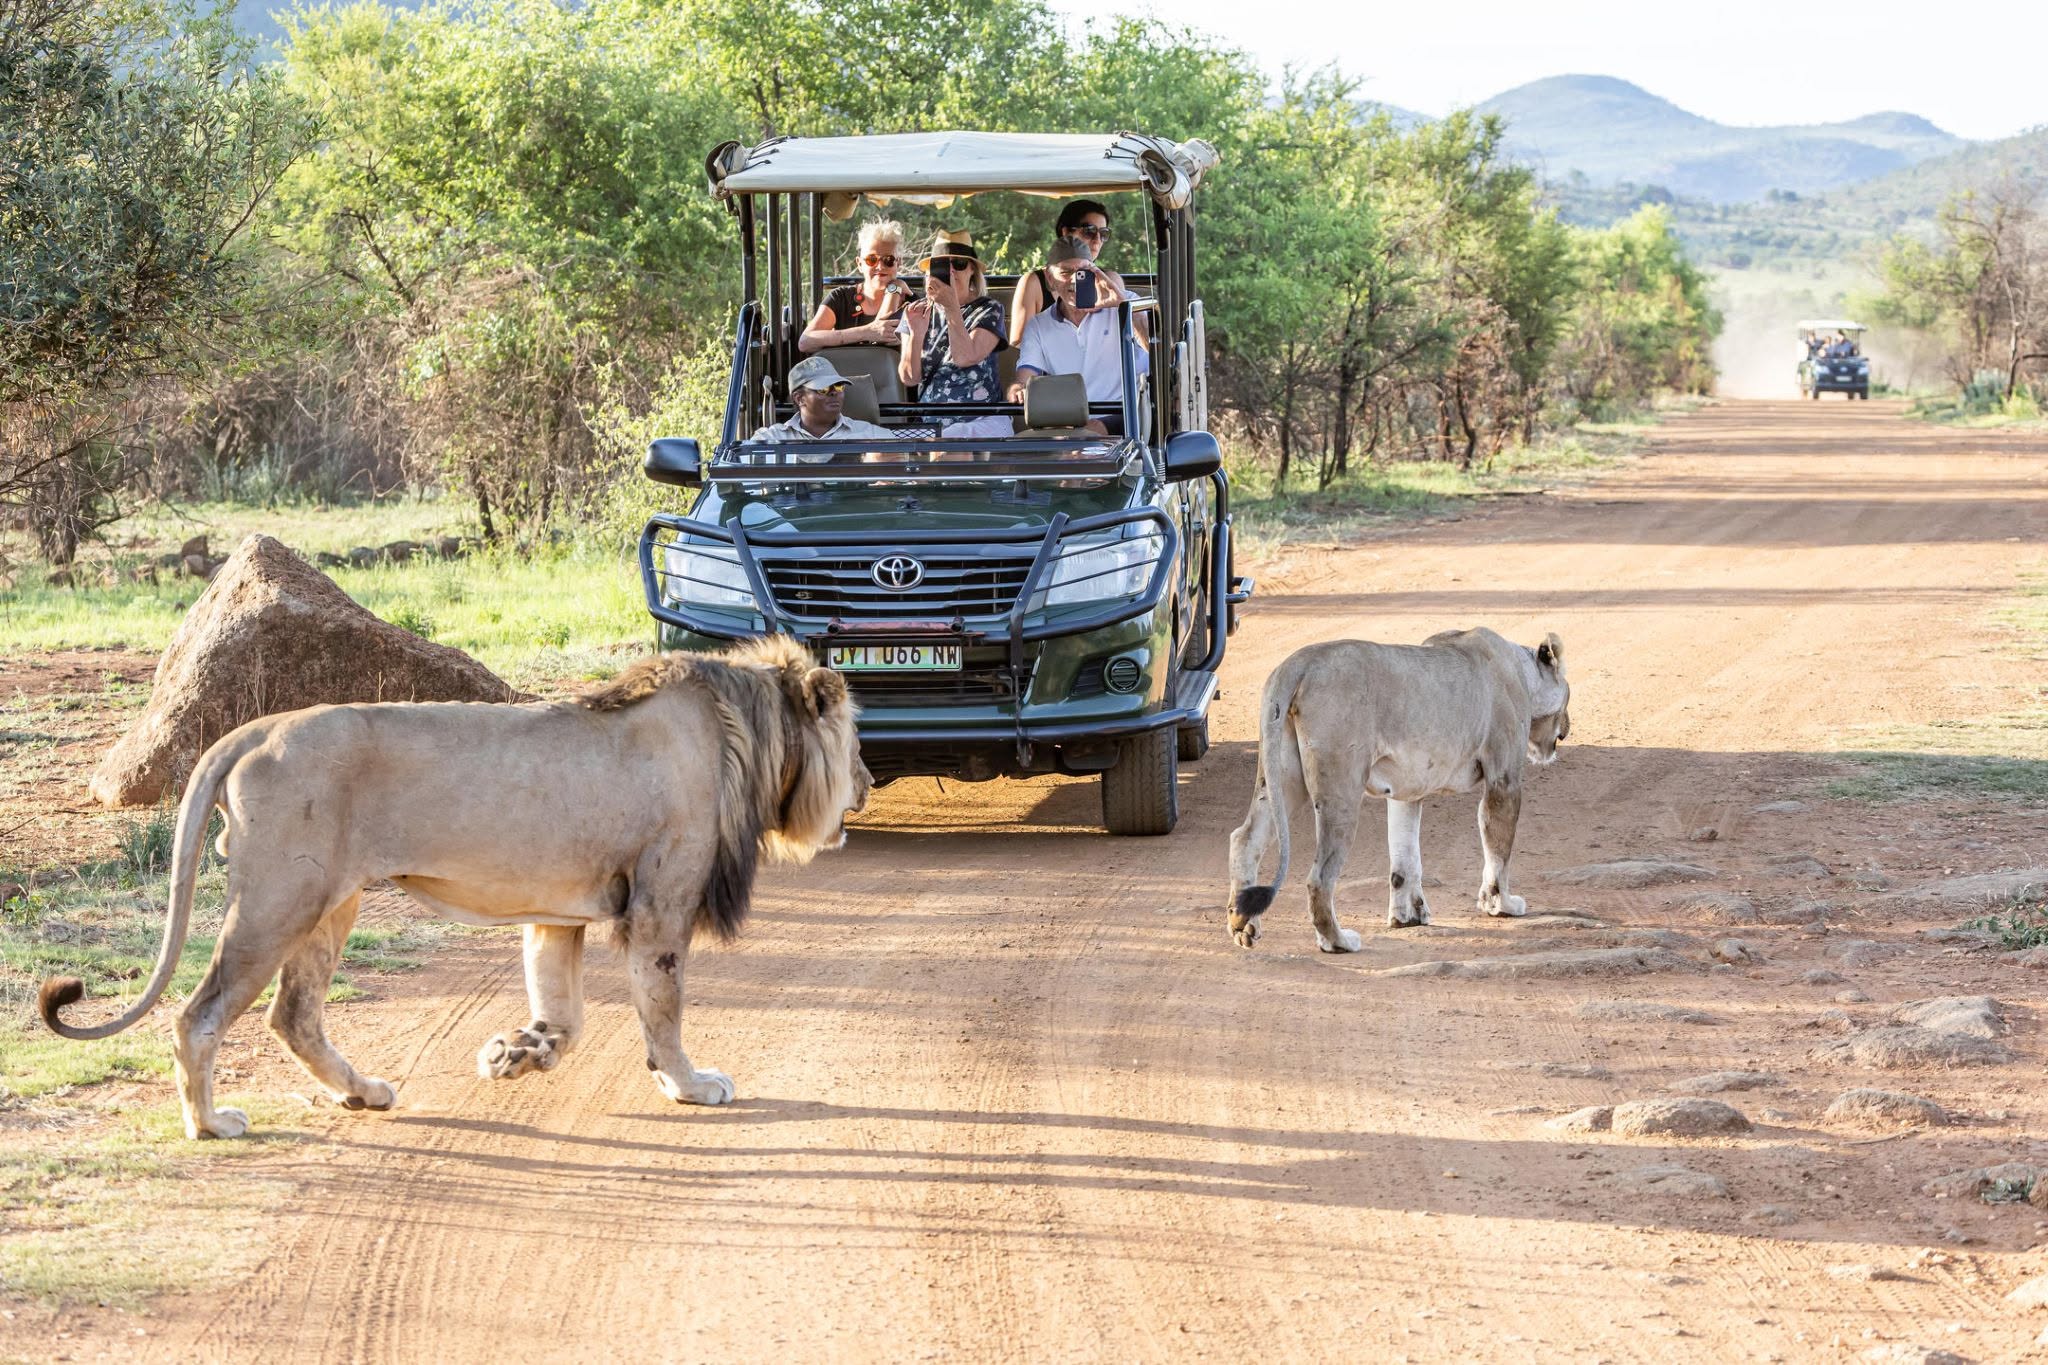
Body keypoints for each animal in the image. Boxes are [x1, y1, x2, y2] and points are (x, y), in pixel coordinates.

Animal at [39, 635, 869, 1140]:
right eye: (858, 739)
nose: (863, 783)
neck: (746, 730)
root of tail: (255, 729)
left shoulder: (559, 912)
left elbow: (566, 1012)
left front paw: (517, 1053)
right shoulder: (659, 902)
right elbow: (662, 1006)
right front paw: (690, 1084)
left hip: (331, 902)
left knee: (293, 1015)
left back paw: (364, 1091)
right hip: (280, 898)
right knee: (199, 1014)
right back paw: (212, 1124)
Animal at [1226, 627, 1569, 952]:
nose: (1566, 730)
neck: (1524, 672)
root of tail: (1297, 663)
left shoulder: (1407, 791)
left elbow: (1406, 857)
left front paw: (1407, 917)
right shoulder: (1504, 778)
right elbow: (1499, 850)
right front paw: (1502, 905)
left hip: (1282, 776)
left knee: (1245, 839)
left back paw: (1243, 926)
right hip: (1341, 788)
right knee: (1319, 878)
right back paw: (1338, 941)